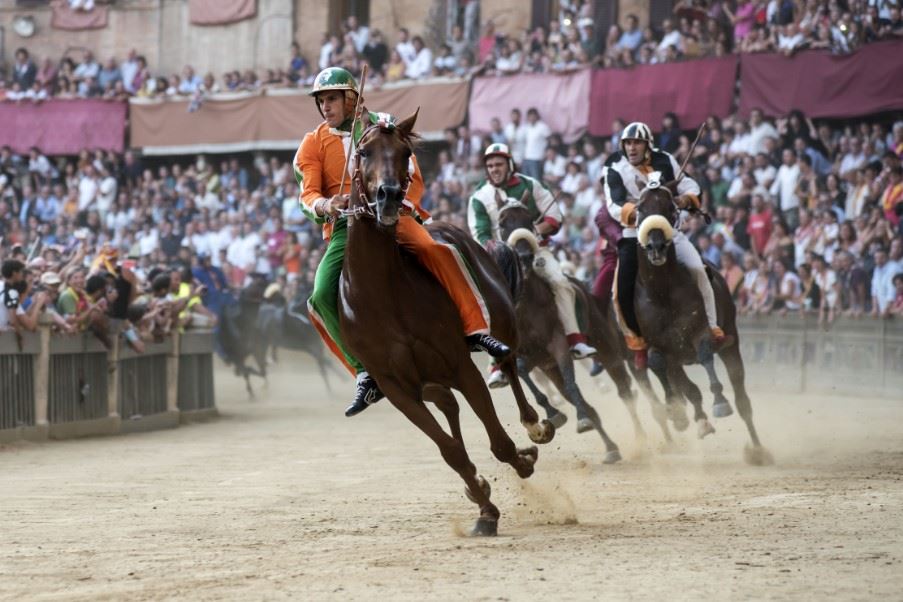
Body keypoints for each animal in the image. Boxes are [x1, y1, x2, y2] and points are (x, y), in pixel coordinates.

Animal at [338, 112, 556, 536]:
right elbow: (450, 450)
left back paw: (535, 426)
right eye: (364, 151)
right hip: (428, 381)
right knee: (449, 404)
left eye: (405, 153)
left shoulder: (459, 363)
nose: (389, 196)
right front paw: (484, 507)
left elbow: (499, 442)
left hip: (500, 322)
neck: (382, 294)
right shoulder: (398, 388)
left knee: (509, 361)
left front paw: (521, 461)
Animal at [632, 180, 772, 462]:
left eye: (670, 207)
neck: (661, 291)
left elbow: (706, 353)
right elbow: (659, 363)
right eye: (640, 208)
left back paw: (757, 450)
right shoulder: (662, 347)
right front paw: (681, 413)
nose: (655, 246)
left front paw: (719, 401)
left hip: (731, 343)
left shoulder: (699, 331)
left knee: (742, 398)